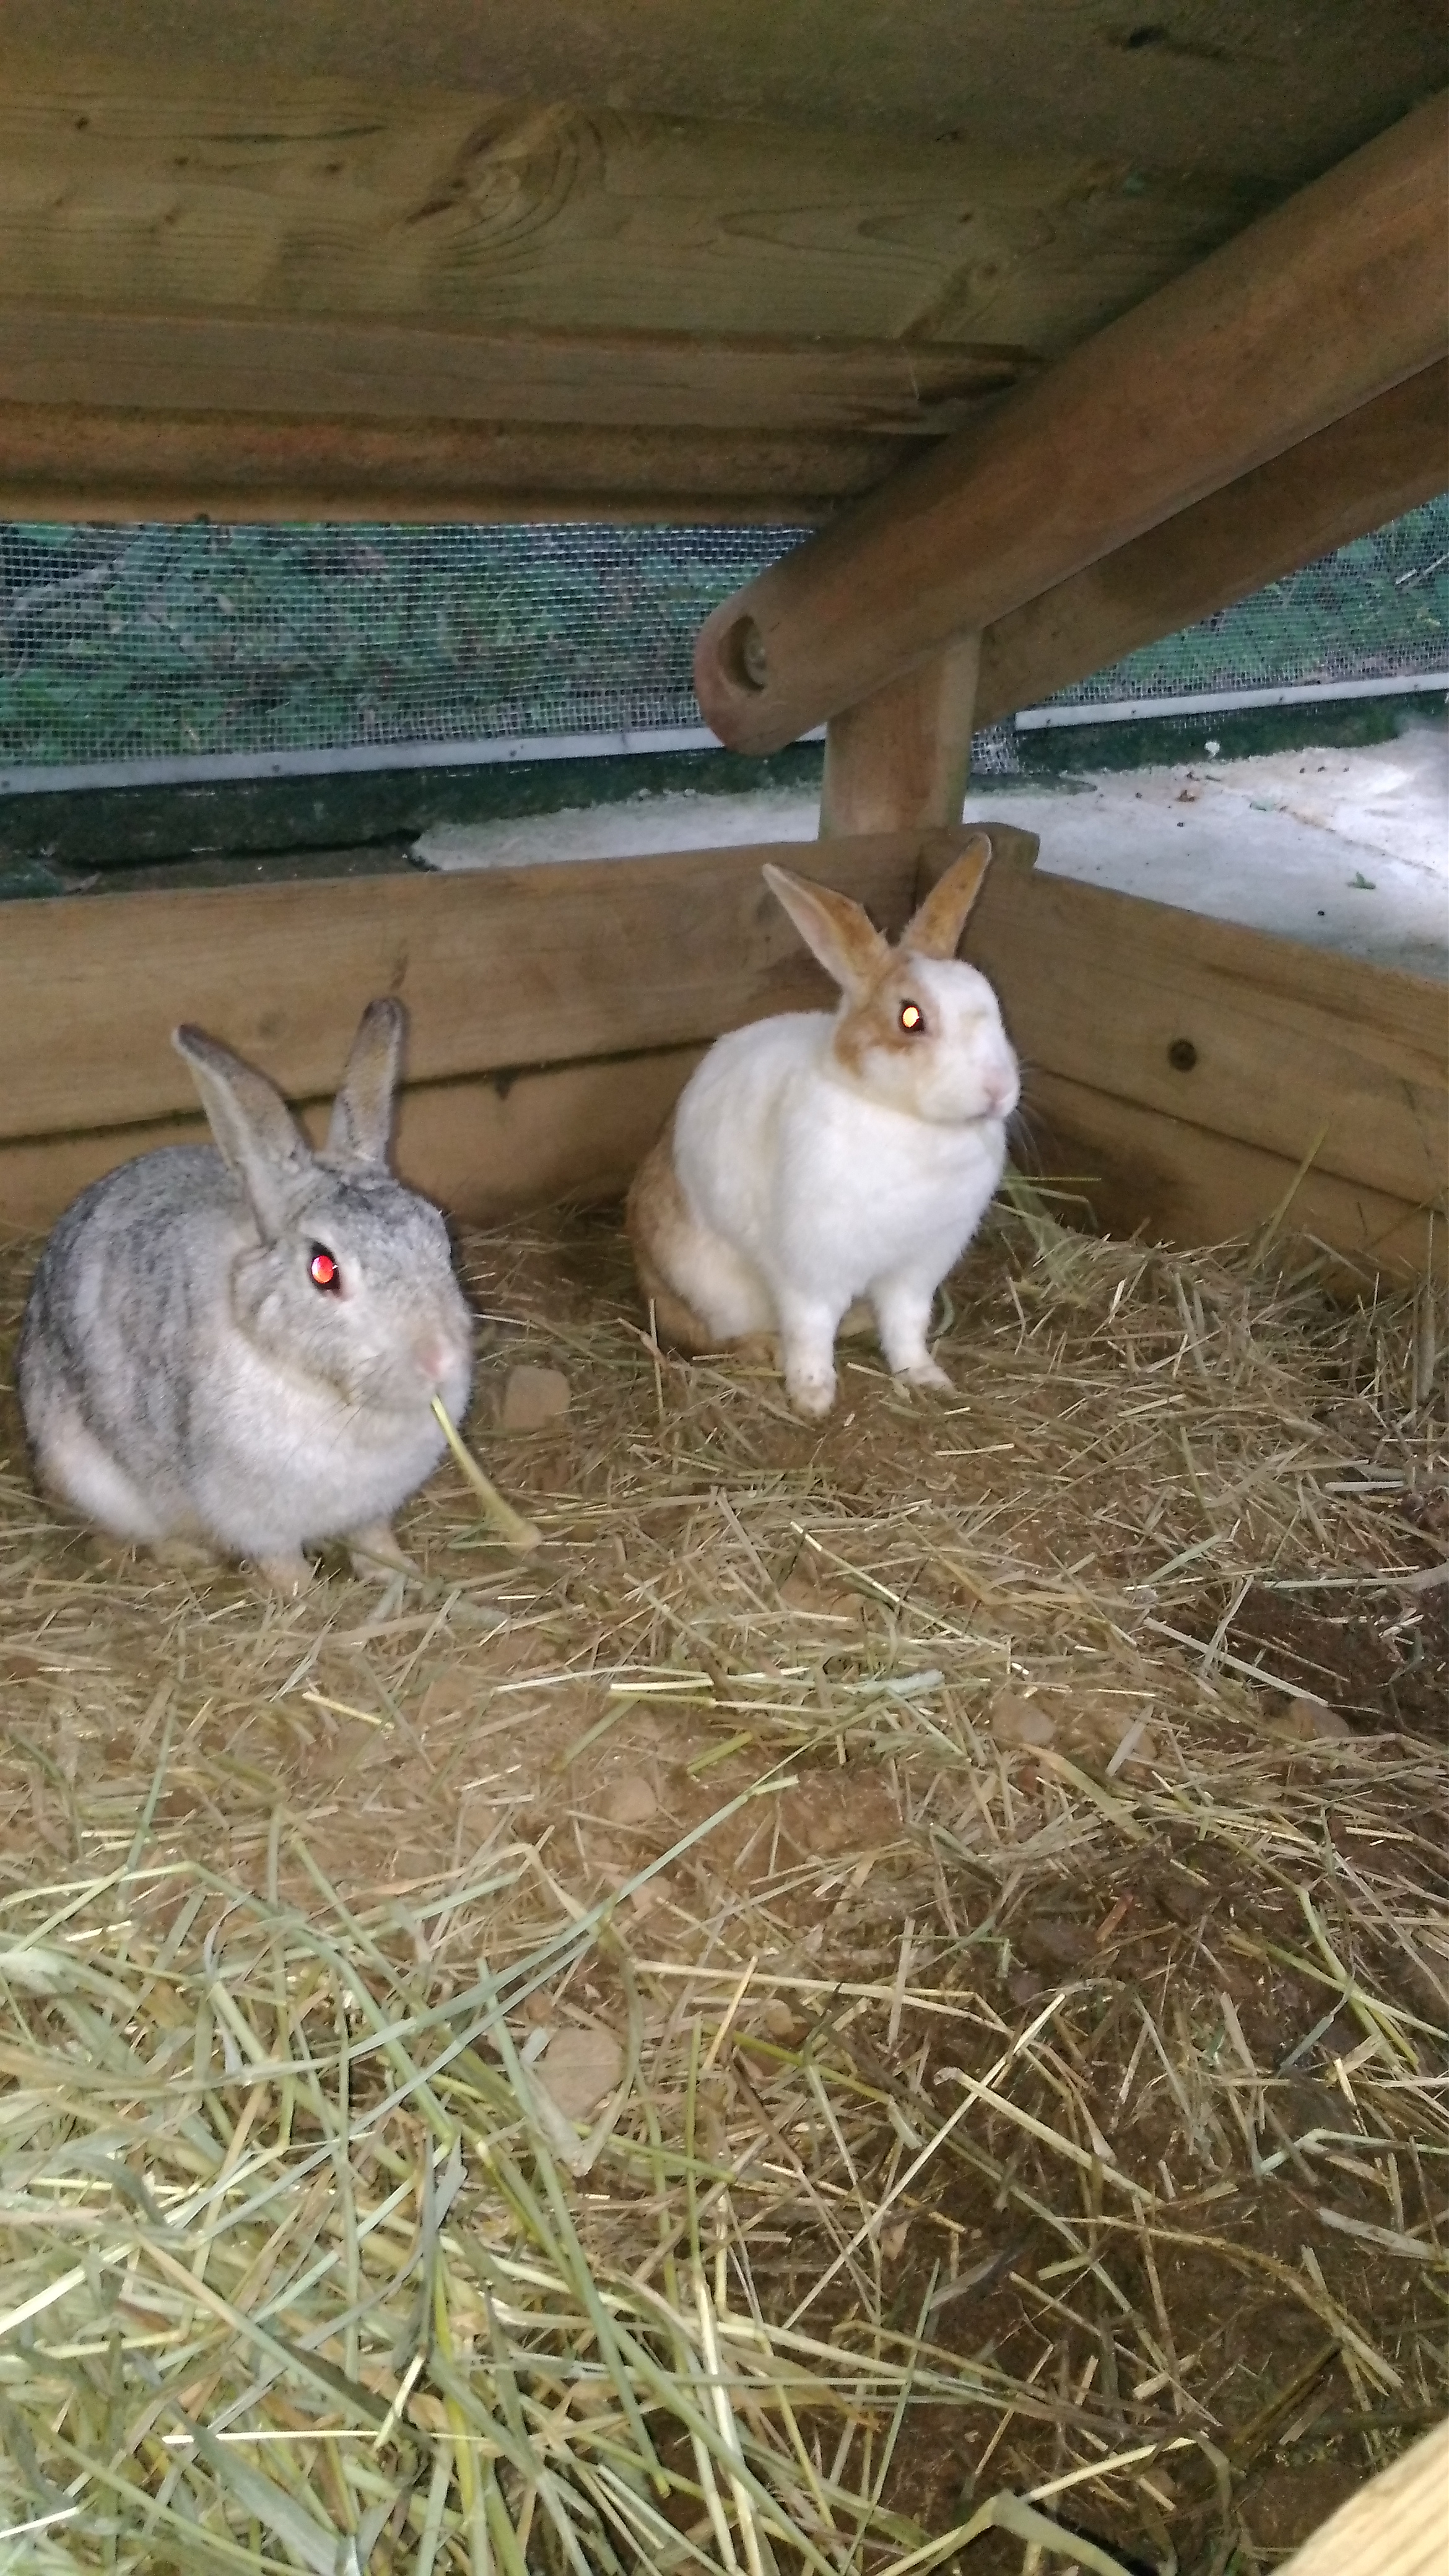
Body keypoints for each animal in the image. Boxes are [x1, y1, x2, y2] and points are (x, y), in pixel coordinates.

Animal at [16, 998, 474, 1592]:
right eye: (324, 1270)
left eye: (438, 1237)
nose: (439, 1358)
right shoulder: (255, 1518)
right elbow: (279, 1562)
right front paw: (308, 1598)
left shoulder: (372, 1507)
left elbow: (374, 1539)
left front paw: (400, 1576)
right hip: (89, 1478)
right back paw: (189, 1556)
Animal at [626, 833, 1019, 1419]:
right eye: (911, 1018)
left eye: (991, 1002)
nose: (998, 1090)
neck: (906, 1118)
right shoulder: (810, 1270)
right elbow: (811, 1331)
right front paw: (812, 1396)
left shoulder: (916, 1269)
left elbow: (907, 1326)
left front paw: (927, 1378)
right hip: (708, 1290)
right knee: (711, 1336)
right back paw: (764, 1350)